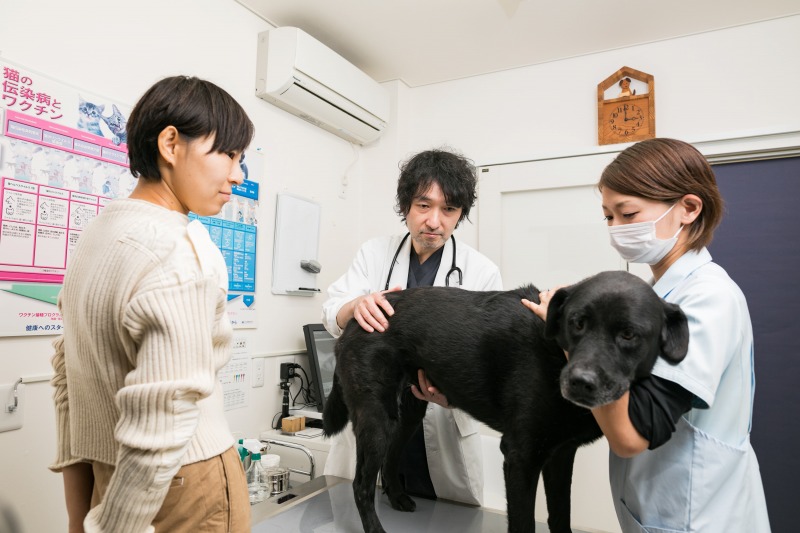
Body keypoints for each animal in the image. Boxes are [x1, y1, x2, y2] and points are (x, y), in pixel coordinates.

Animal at [322, 272, 692, 528]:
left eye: (628, 334)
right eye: (577, 324)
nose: (580, 383)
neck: (556, 354)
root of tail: (354, 319)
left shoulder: (561, 456)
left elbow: (561, 518)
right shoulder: (520, 457)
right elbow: (524, 524)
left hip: (407, 414)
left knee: (391, 457)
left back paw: (398, 498)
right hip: (376, 417)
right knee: (360, 485)